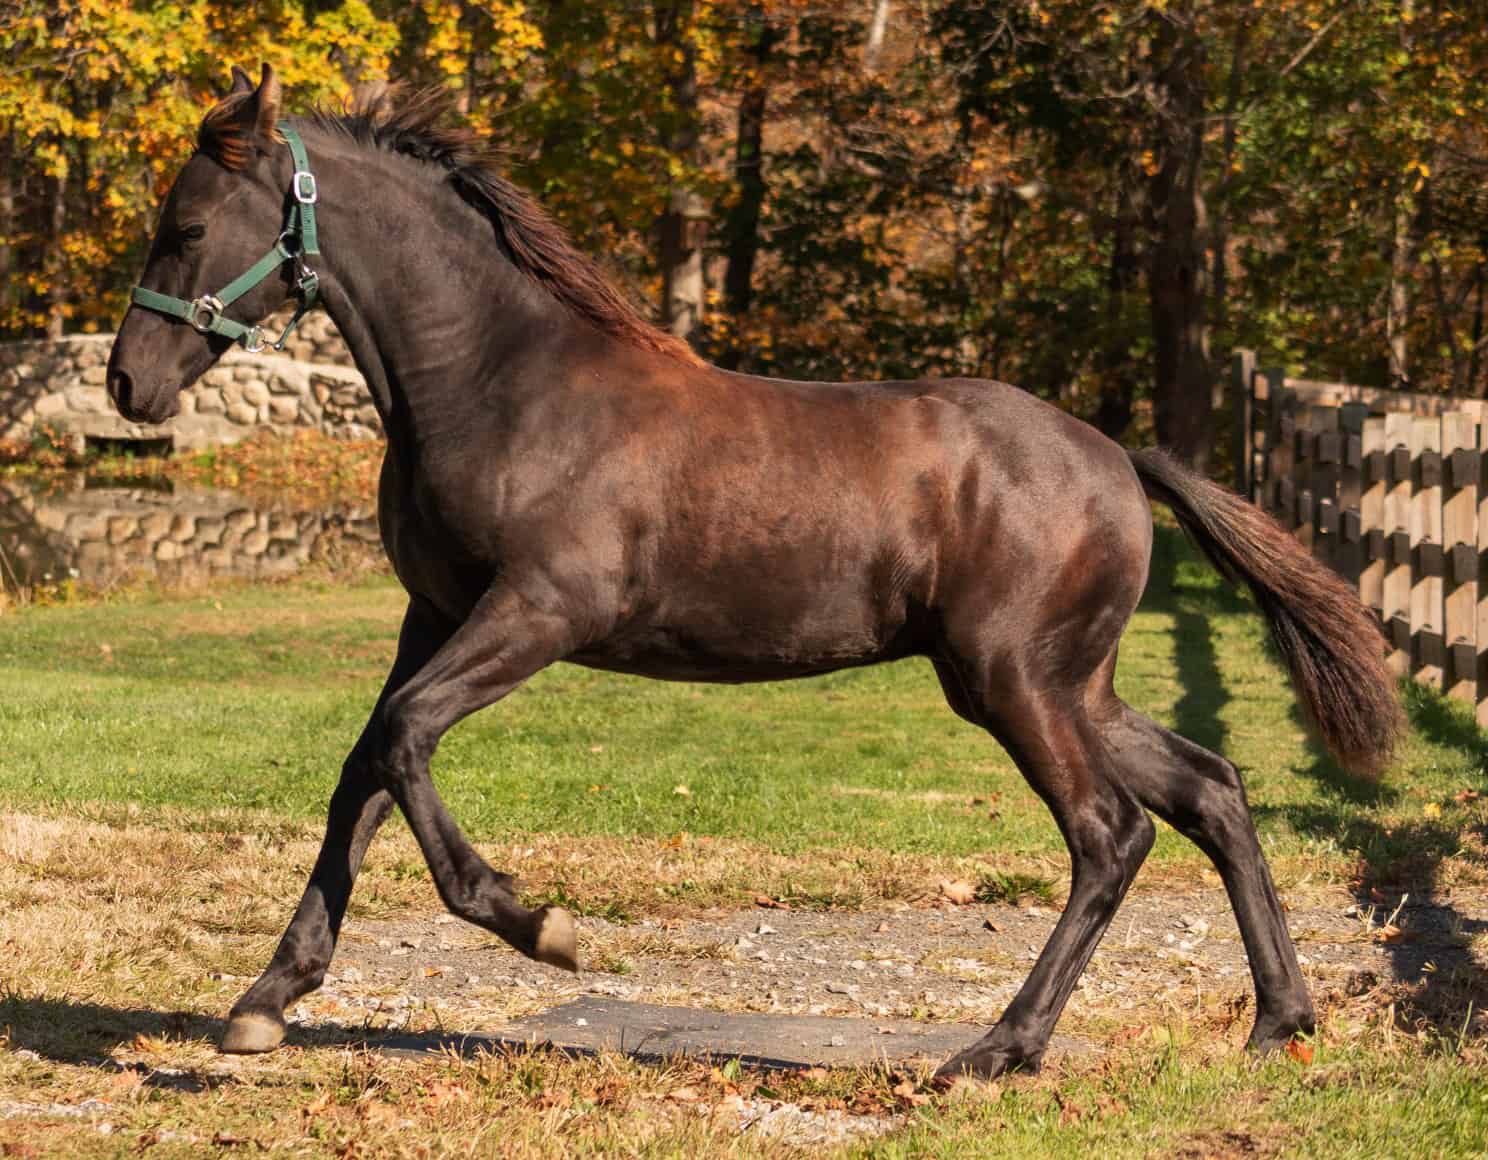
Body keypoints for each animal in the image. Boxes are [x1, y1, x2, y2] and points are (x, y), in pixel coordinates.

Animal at [106, 65, 1401, 1081]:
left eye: (184, 226)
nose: (127, 382)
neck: (501, 379)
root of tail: (1119, 458)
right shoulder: (433, 613)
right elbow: (366, 770)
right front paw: (265, 1000)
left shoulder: (539, 610)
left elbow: (408, 739)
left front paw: (547, 925)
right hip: (1067, 682)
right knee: (1210, 789)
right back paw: (1281, 1020)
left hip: (1014, 682)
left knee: (1110, 832)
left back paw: (998, 1048)